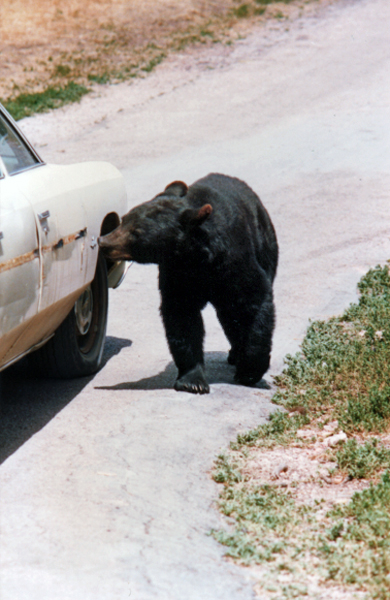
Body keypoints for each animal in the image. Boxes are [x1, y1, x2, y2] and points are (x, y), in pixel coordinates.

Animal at [99, 172, 278, 394]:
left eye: (137, 232)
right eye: (124, 220)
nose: (103, 242)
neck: (196, 257)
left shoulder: (233, 261)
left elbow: (253, 300)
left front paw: (250, 371)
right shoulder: (178, 274)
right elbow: (182, 316)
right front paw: (192, 380)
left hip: (266, 246)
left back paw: (236, 354)